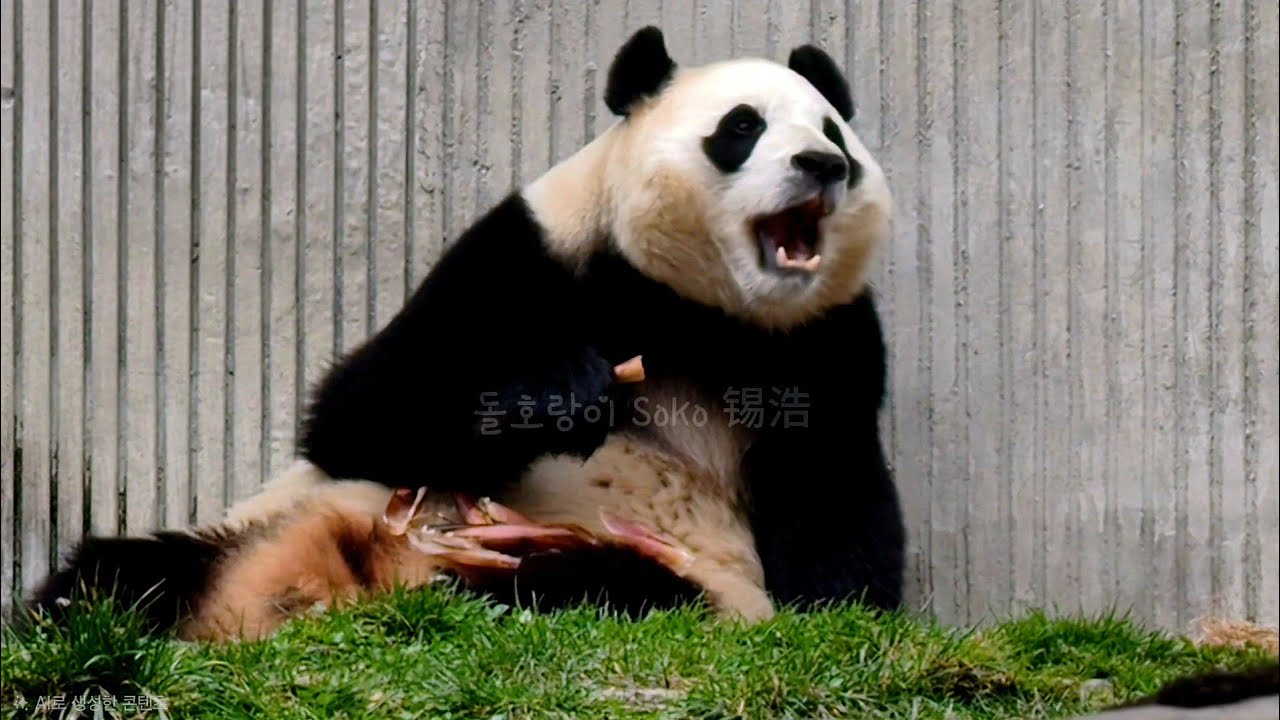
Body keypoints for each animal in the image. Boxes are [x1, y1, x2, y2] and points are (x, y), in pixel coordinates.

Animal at [28, 26, 903, 642]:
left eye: (833, 132)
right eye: (742, 126)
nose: (821, 164)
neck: (691, 303)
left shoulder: (826, 341)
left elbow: (837, 511)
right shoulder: (531, 251)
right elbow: (360, 414)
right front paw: (553, 396)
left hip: (667, 577)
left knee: (599, 587)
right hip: (262, 521)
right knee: (117, 575)